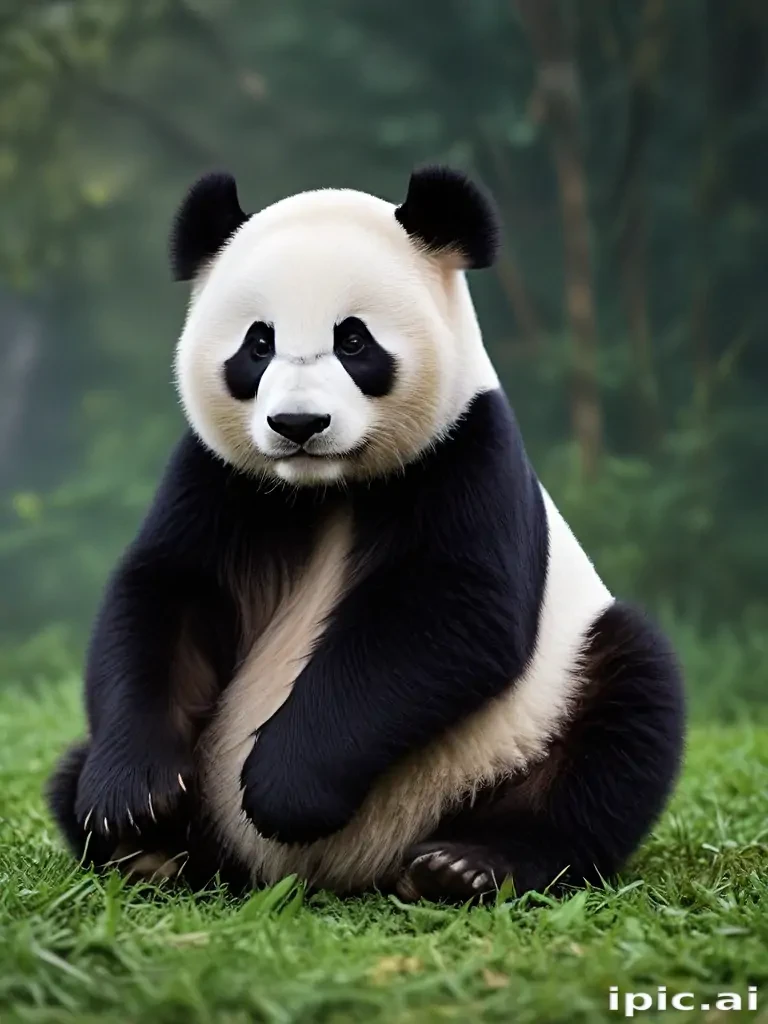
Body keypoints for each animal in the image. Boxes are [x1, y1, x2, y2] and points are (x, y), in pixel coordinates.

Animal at [47, 166, 685, 903]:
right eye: (258, 344)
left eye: (353, 342)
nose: (298, 424)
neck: (327, 487)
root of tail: (340, 874)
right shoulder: (220, 478)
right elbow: (168, 592)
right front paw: (134, 798)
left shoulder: (467, 452)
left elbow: (448, 613)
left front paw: (284, 790)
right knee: (69, 771)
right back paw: (152, 853)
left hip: (526, 723)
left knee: (619, 717)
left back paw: (466, 866)